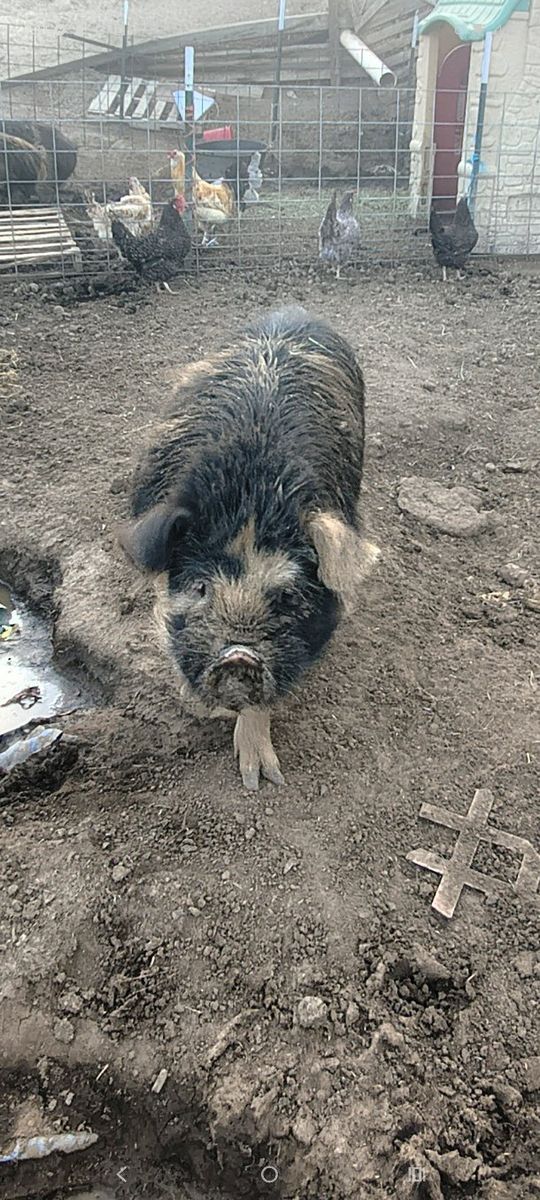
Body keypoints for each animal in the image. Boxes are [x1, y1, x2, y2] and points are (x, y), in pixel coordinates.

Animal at [120, 307, 379, 789]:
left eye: (289, 596)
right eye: (200, 587)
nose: (238, 656)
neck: (253, 499)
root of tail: (294, 309)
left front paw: (263, 779)